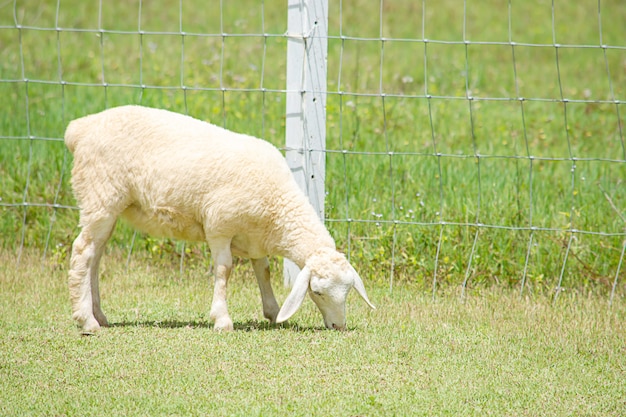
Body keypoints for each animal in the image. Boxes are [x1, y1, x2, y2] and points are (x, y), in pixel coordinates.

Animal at [65, 105, 372, 334]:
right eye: (317, 292)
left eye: (348, 291)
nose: (339, 326)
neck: (277, 206)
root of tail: (80, 128)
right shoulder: (219, 227)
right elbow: (225, 270)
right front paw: (222, 319)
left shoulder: (255, 237)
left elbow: (264, 270)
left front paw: (273, 312)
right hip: (100, 196)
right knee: (83, 252)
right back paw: (87, 321)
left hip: (106, 207)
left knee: (95, 256)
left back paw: (99, 315)